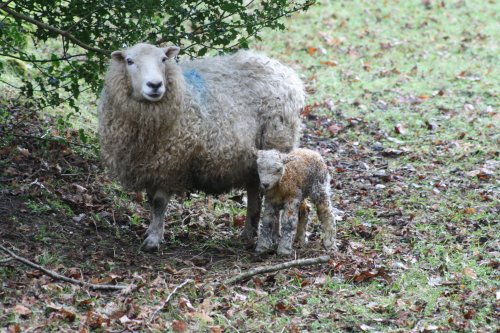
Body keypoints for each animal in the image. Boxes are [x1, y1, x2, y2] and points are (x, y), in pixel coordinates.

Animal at [98, 43, 304, 249]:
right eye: (129, 61)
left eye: (163, 59)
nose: (155, 85)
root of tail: (286, 72)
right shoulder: (151, 166)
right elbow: (151, 201)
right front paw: (151, 230)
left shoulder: (171, 163)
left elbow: (158, 203)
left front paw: (153, 240)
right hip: (255, 159)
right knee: (254, 190)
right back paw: (248, 232)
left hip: (277, 143)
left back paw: (273, 236)